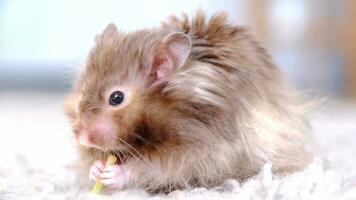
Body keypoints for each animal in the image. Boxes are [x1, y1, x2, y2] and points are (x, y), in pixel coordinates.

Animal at [64, 10, 312, 192]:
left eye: (116, 98)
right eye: (83, 90)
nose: (83, 139)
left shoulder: (206, 150)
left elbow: (156, 168)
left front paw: (112, 173)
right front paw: (96, 169)